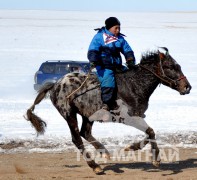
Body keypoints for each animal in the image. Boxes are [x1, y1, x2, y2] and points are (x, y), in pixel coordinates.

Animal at [25, 47, 192, 174]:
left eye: (178, 66)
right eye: (171, 67)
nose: (187, 87)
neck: (134, 84)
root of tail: (55, 85)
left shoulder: (137, 116)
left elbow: (149, 132)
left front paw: (133, 147)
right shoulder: (130, 117)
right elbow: (150, 131)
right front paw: (154, 159)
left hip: (88, 115)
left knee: (85, 132)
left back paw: (104, 152)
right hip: (69, 114)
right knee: (77, 138)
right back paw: (95, 166)